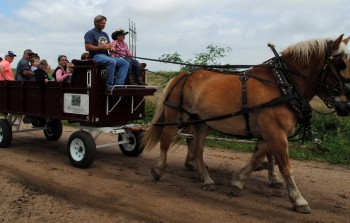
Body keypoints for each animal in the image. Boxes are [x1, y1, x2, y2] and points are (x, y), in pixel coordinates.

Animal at [142, 34, 350, 213]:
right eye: (341, 64)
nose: (346, 107)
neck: (283, 84)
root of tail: (182, 75)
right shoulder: (275, 132)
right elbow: (285, 166)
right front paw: (299, 200)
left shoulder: (269, 133)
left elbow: (259, 157)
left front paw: (238, 182)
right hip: (176, 116)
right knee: (166, 141)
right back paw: (158, 169)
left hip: (200, 122)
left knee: (197, 149)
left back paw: (207, 180)